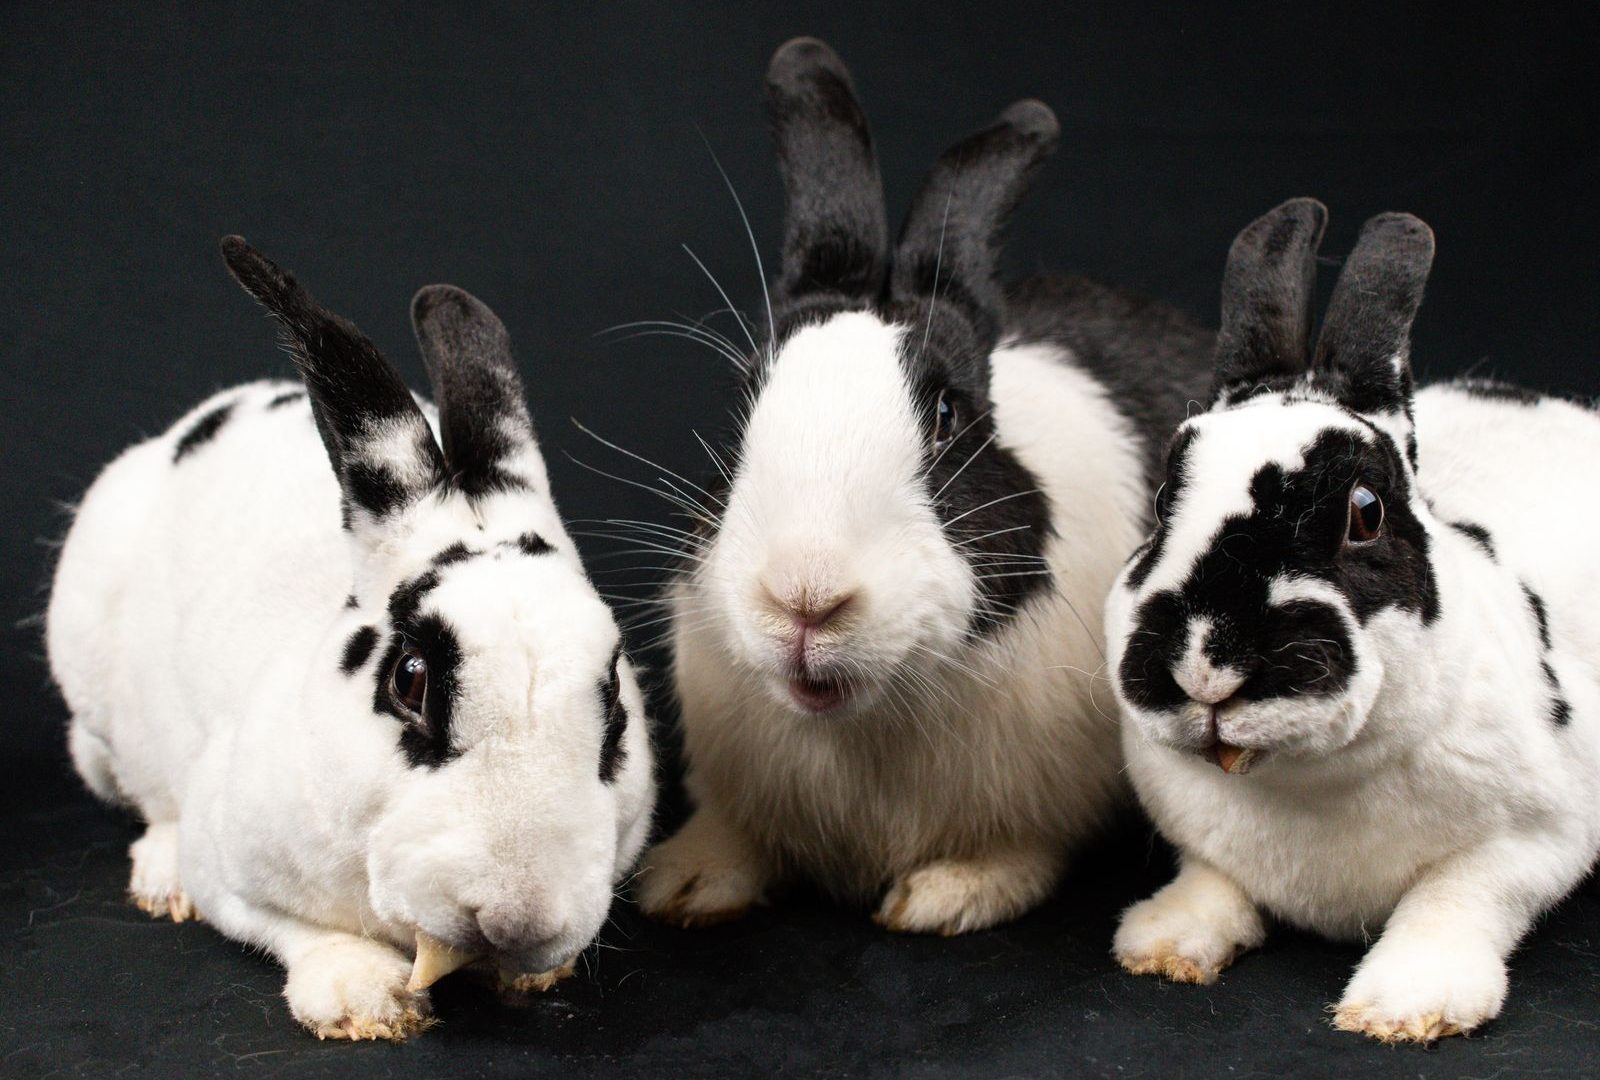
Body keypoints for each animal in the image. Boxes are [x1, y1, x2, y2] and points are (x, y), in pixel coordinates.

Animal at [45, 237, 656, 1040]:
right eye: (409, 678)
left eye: (614, 693)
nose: (517, 917)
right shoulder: (229, 863)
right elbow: (286, 925)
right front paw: (366, 1000)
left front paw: (531, 975)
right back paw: (160, 877)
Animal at [635, 37, 1214, 935]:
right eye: (746, 402)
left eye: (948, 415)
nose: (805, 598)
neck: (862, 720)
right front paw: (685, 882)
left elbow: (1015, 853)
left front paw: (945, 897)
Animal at [1105, 197, 1600, 1042]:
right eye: (1167, 499)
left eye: (1365, 513)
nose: (1205, 667)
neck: (1307, 782)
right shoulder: (1200, 838)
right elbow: (1212, 879)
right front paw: (1162, 943)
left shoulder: (1535, 837)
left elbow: (1455, 898)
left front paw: (1407, 1006)